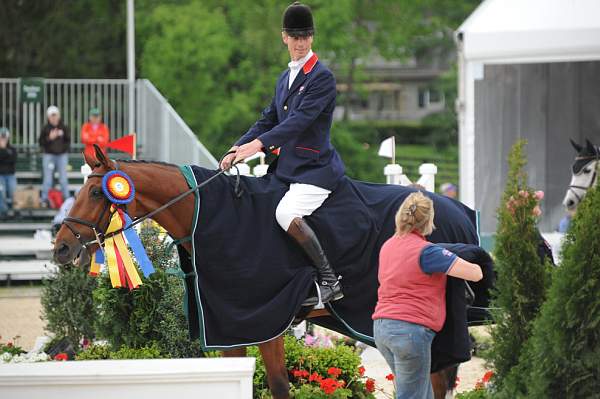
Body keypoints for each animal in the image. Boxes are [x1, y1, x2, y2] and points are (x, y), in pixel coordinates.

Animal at [55, 148, 460, 399]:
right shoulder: (229, 330)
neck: (207, 215)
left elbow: (280, 386)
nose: (61, 248)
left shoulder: (266, 321)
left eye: (96, 193)